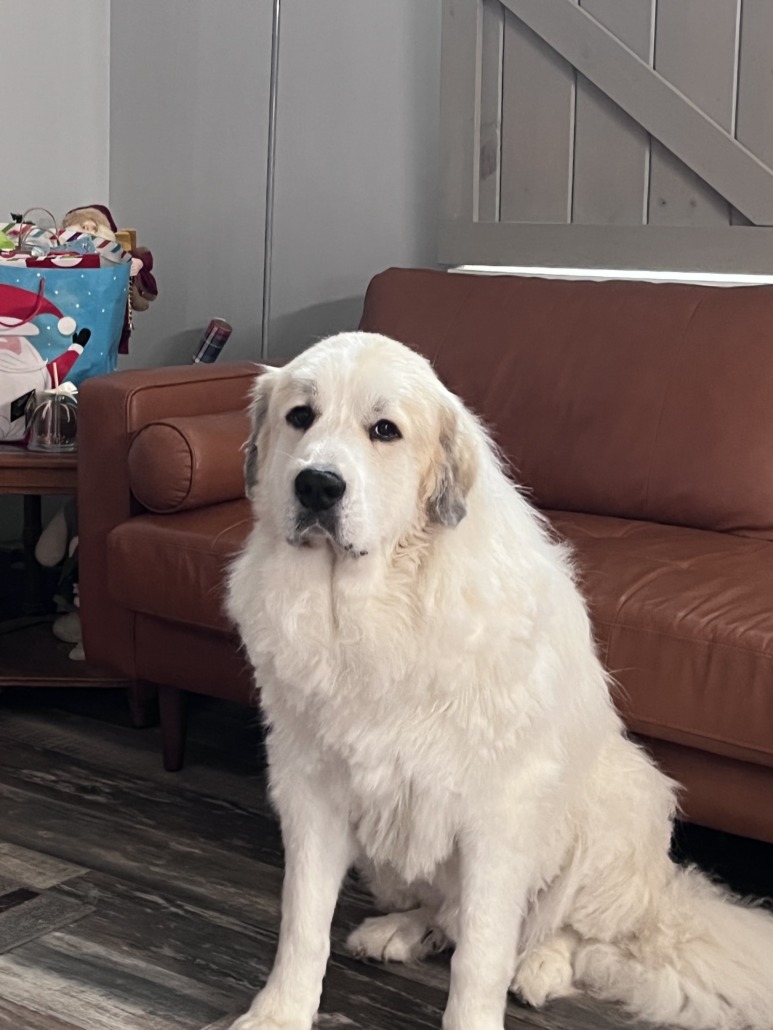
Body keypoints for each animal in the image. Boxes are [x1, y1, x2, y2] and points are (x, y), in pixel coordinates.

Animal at [226, 331, 773, 1030]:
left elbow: (481, 959)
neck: (372, 613)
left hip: (621, 803)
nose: (318, 485)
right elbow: (302, 923)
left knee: (569, 935)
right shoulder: (312, 790)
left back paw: (538, 967)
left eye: (384, 430)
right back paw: (403, 931)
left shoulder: (499, 816)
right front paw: (279, 1013)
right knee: (448, 912)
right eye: (301, 416)